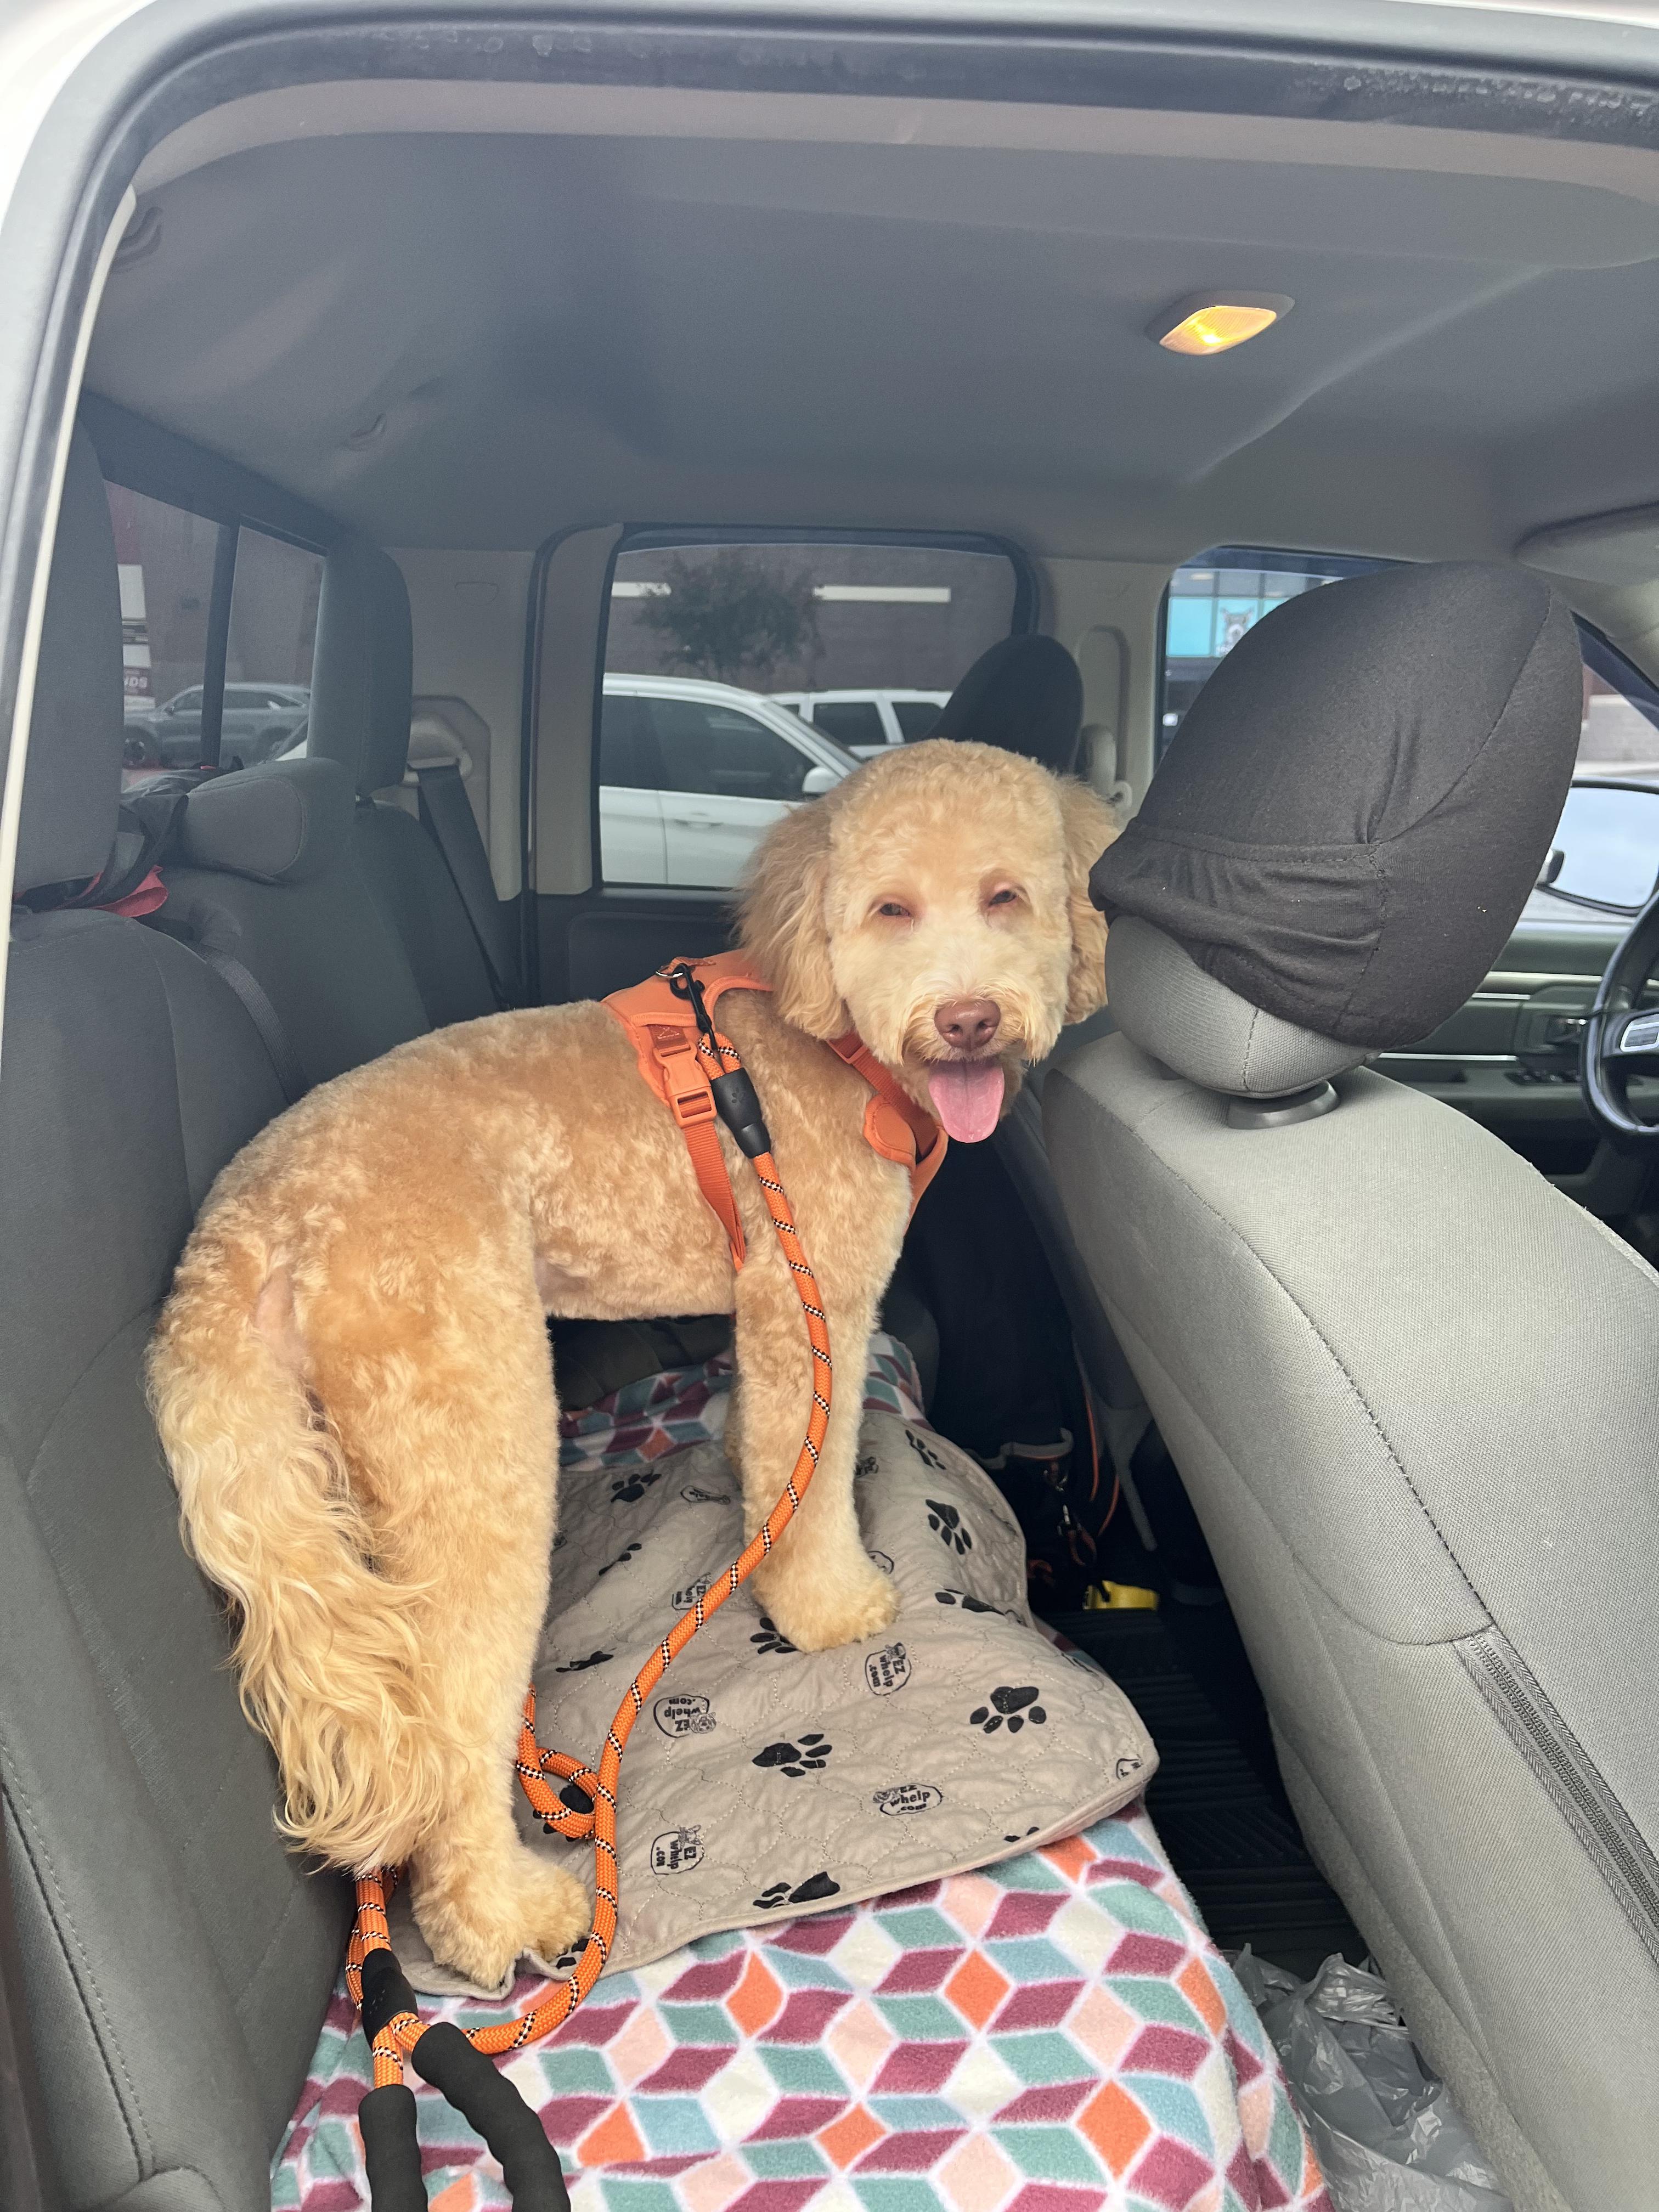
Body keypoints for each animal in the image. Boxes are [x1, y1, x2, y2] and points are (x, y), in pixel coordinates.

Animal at [148, 739, 1115, 1985]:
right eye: (890, 909)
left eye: (1007, 896)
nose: (967, 1019)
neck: (821, 1034)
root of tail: (253, 1216)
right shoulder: (812, 1302)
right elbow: (812, 1477)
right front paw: (828, 1606)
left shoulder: (766, 1314)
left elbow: (770, 1455)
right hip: (473, 1438)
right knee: (450, 1711)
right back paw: (500, 1913)